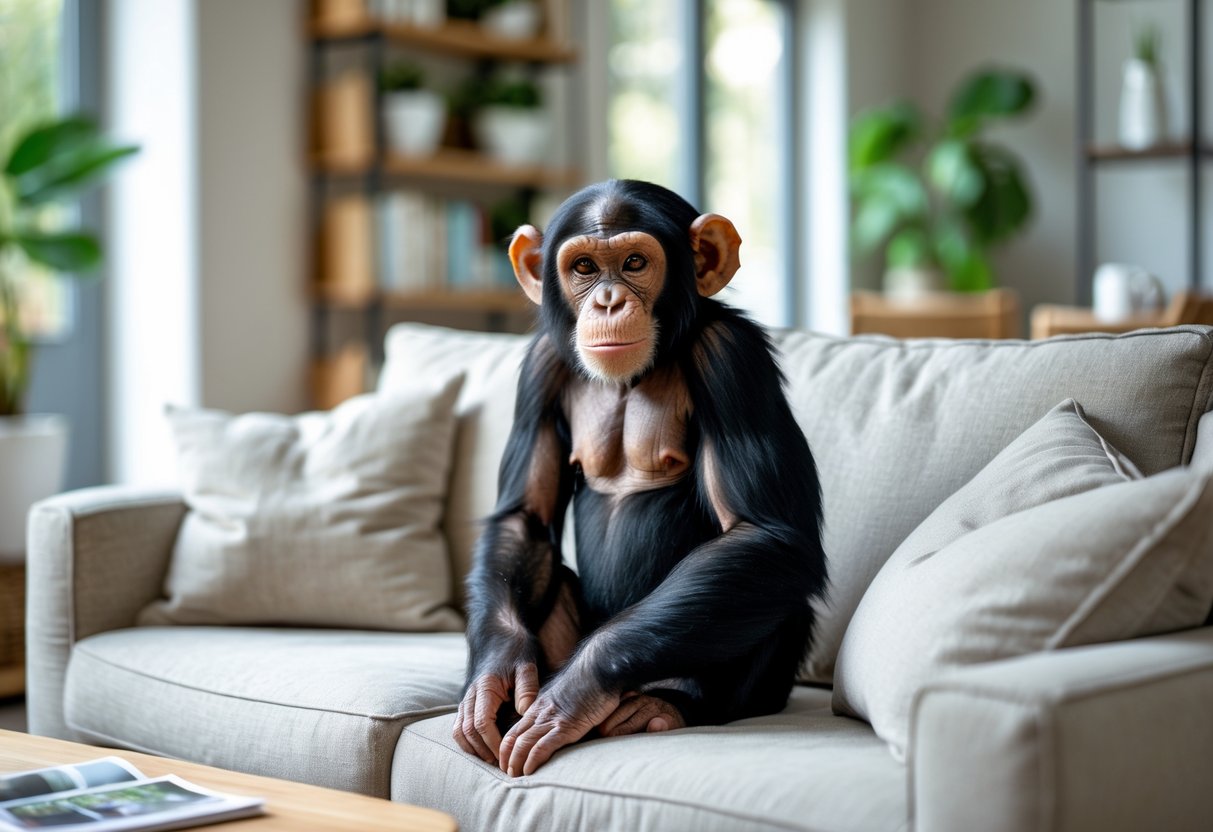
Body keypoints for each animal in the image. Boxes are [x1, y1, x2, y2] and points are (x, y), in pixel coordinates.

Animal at [453, 179, 826, 777]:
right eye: (584, 266)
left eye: (633, 262)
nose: (608, 300)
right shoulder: (539, 368)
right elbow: (524, 517)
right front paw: (496, 677)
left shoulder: (732, 358)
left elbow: (764, 533)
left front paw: (573, 694)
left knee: (766, 576)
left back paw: (664, 705)